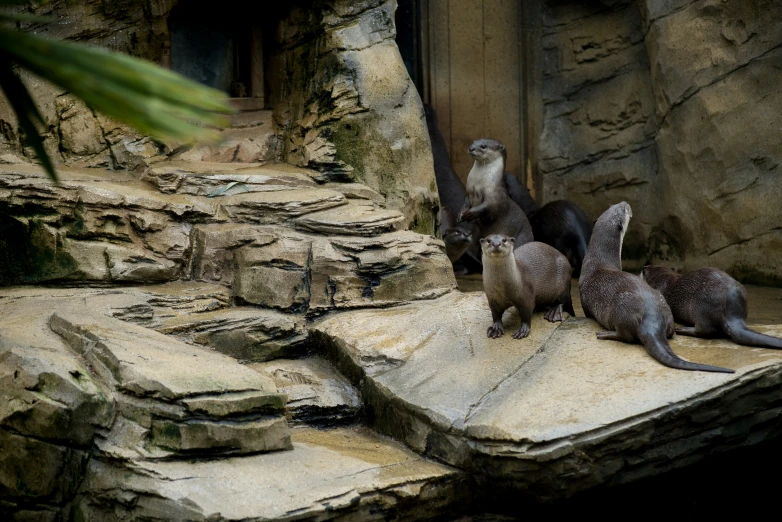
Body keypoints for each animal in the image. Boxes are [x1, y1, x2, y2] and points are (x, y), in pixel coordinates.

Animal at [580, 201, 740, 372]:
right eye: (616, 207)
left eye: (622, 208)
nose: (625, 203)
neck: (598, 262)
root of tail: (652, 320)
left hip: (621, 310)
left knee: (625, 336)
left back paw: (605, 334)